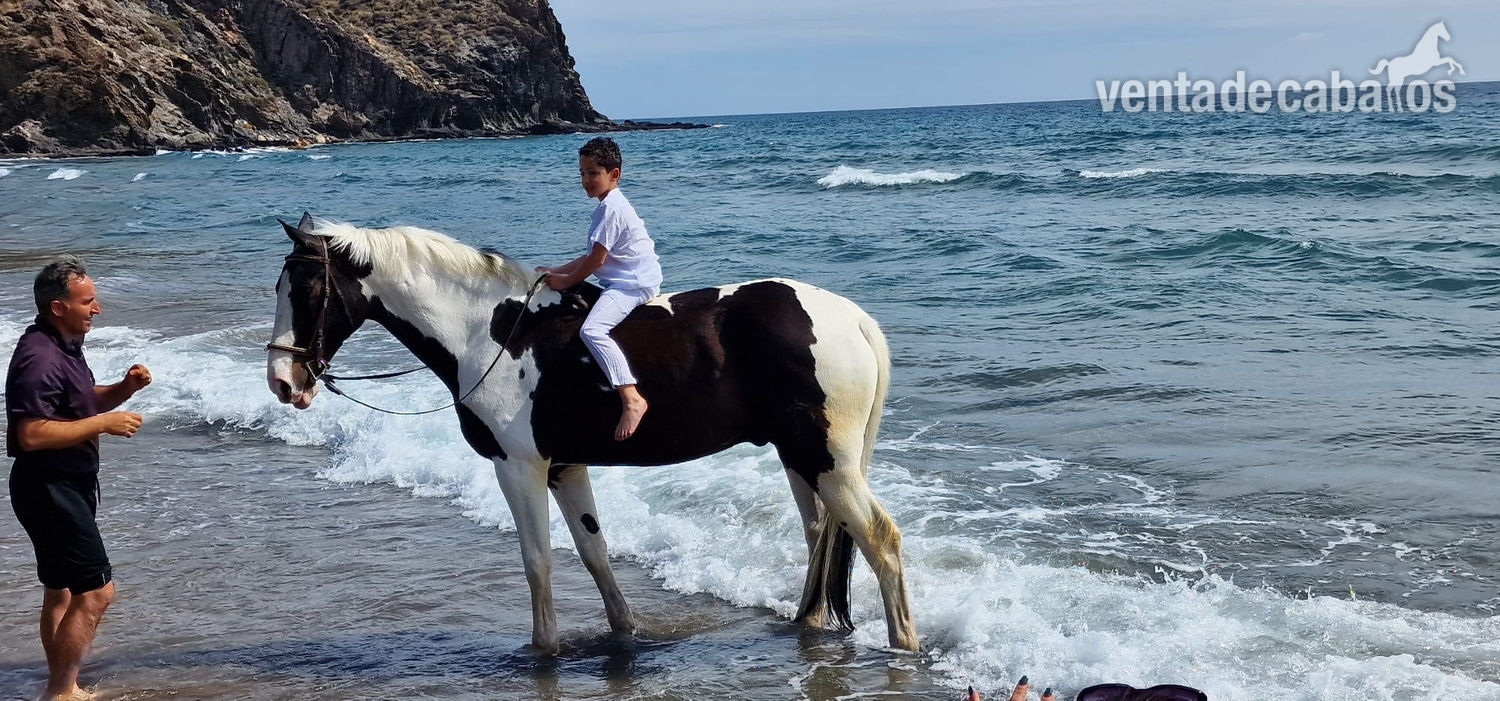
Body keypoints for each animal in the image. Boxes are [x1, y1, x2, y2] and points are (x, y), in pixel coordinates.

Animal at [264, 213, 919, 654]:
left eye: (310, 291)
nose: (281, 380)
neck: (490, 333)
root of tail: (850, 318)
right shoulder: (565, 468)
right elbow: (593, 553)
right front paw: (624, 633)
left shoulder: (520, 467)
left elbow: (537, 560)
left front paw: (543, 650)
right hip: (802, 460)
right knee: (819, 538)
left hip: (827, 462)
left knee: (881, 541)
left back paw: (903, 648)